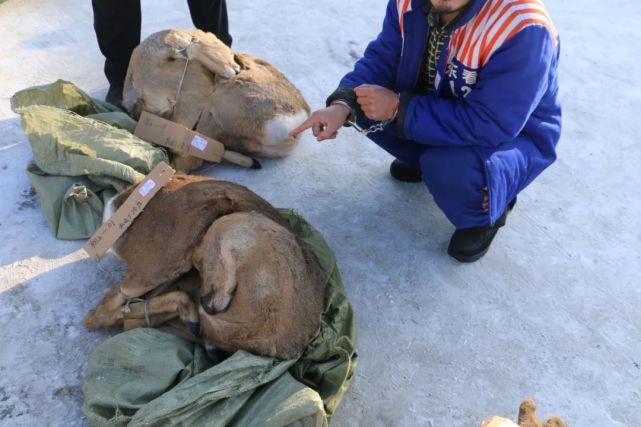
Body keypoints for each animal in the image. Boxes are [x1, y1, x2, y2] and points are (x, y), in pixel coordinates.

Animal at [84, 176, 324, 360]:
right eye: (199, 265)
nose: (207, 304)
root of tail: (117, 204)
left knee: (117, 316)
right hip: (166, 261)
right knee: (99, 314)